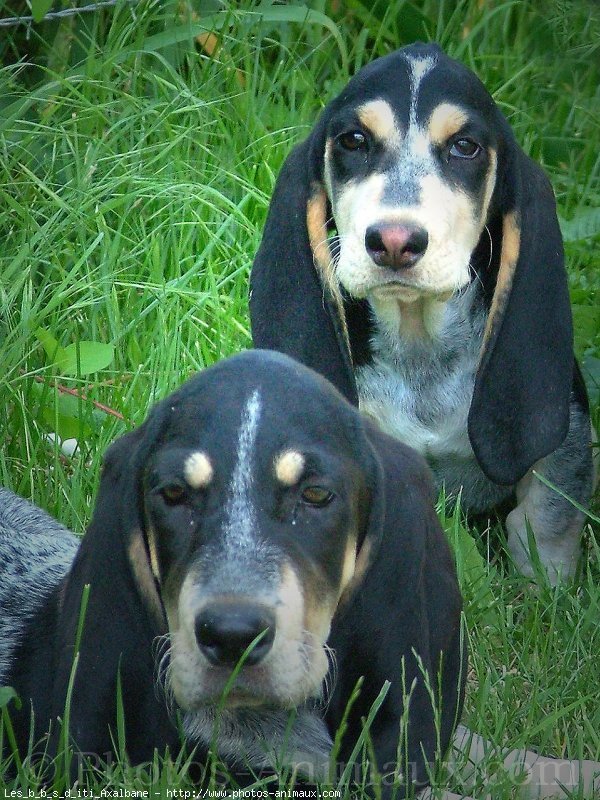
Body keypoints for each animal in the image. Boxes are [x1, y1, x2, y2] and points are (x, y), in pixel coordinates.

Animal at [248, 42, 596, 580]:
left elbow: (547, 520)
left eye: (465, 147)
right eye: (353, 140)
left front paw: (546, 588)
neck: (419, 350)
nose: (394, 241)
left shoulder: (568, 439)